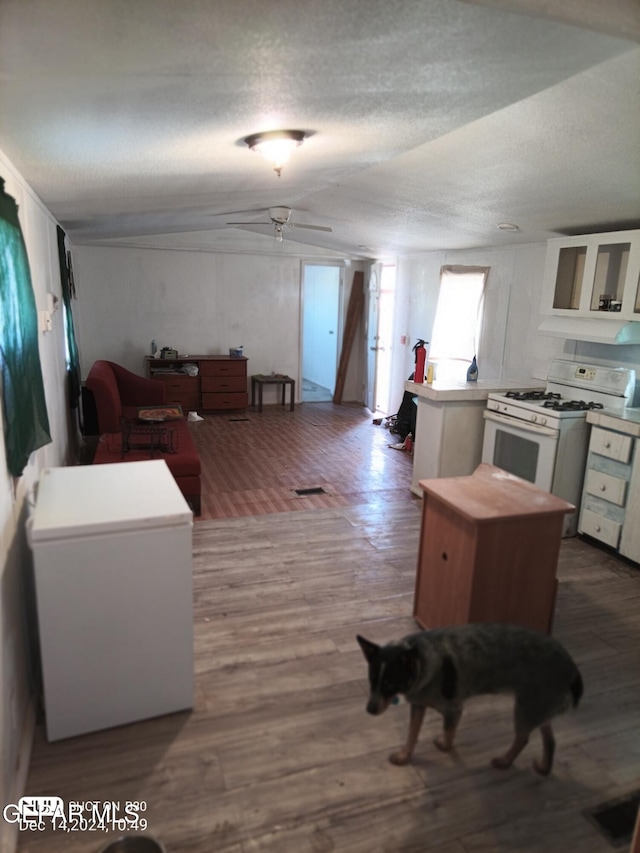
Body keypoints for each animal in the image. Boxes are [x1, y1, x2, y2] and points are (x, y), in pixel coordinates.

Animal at [358, 620, 584, 772]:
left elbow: (448, 733)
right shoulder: (418, 705)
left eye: (390, 684)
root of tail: (573, 670)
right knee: (550, 740)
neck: (422, 661)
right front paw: (405, 756)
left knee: (523, 738)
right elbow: (412, 734)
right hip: (539, 706)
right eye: (371, 679)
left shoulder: (454, 709)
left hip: (526, 708)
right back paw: (544, 768)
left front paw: (445, 746)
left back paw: (505, 761)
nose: (369, 710)